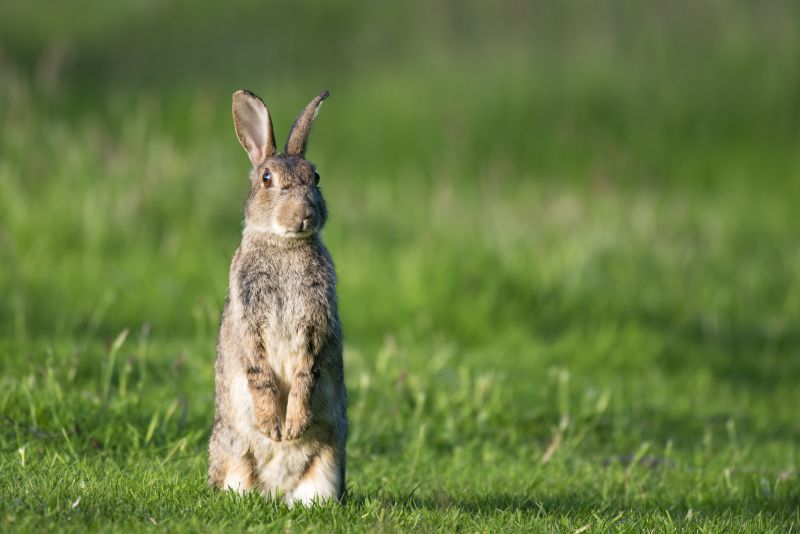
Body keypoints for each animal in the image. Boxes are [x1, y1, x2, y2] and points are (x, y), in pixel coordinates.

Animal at [206, 89, 346, 506]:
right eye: (267, 178)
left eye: (315, 176)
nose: (304, 213)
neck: (284, 245)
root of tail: (277, 490)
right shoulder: (249, 320)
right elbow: (259, 373)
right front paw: (273, 427)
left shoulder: (315, 325)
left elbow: (306, 372)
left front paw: (294, 426)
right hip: (232, 453)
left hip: (329, 461)